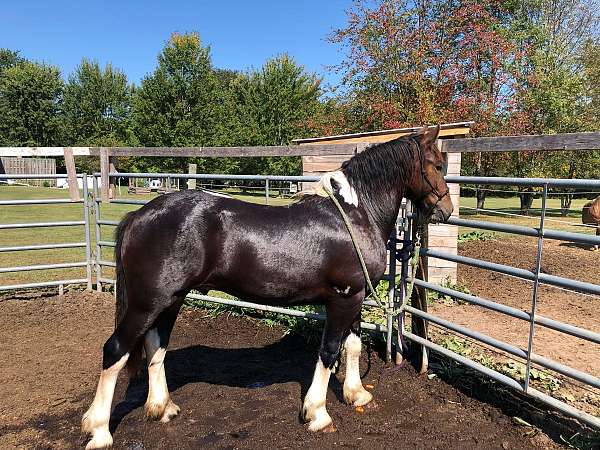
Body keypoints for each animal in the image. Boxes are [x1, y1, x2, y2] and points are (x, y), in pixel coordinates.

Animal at [82, 125, 452, 448]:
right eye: (437, 164)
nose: (446, 210)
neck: (354, 214)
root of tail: (138, 216)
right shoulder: (343, 299)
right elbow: (329, 351)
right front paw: (317, 413)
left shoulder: (356, 297)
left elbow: (353, 346)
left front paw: (356, 394)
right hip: (147, 302)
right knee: (115, 350)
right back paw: (98, 430)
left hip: (170, 300)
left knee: (155, 345)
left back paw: (162, 408)